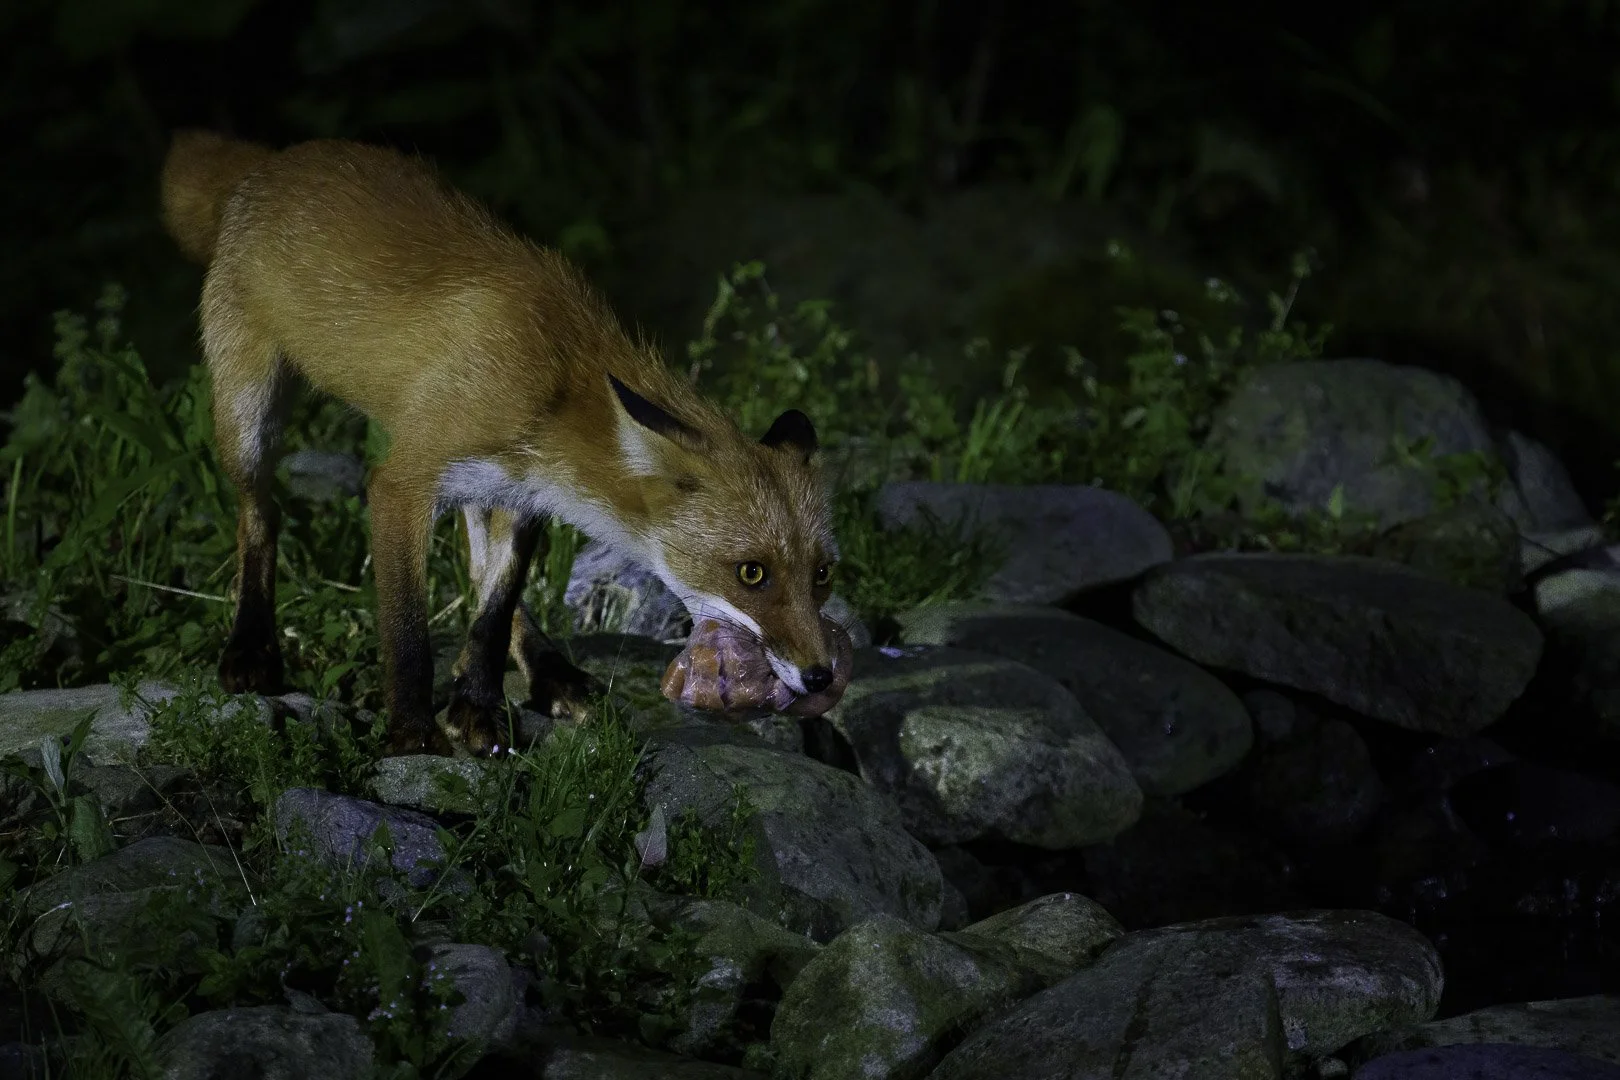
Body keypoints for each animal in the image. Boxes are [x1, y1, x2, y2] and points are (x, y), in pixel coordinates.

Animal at [158, 130, 840, 757]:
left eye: (822, 574)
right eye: (751, 572)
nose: (821, 676)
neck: (557, 383)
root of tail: (273, 160)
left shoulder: (522, 497)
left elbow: (493, 607)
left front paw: (476, 707)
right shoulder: (404, 483)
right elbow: (407, 630)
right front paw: (413, 731)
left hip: (470, 488)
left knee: (480, 574)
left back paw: (547, 671)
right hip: (249, 418)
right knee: (260, 515)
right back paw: (250, 647)